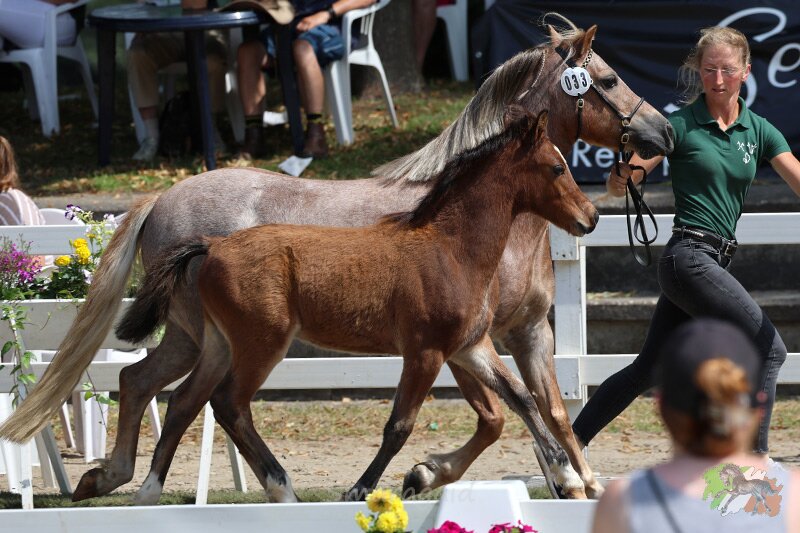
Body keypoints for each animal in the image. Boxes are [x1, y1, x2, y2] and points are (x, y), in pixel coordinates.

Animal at [117, 108, 599, 503]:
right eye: (557, 167)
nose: (591, 217)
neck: (451, 248)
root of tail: (213, 246)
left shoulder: (471, 347)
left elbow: (521, 398)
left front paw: (569, 475)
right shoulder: (425, 353)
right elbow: (399, 425)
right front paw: (365, 488)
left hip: (219, 342)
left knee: (186, 398)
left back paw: (149, 489)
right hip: (262, 344)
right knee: (228, 403)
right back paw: (281, 488)